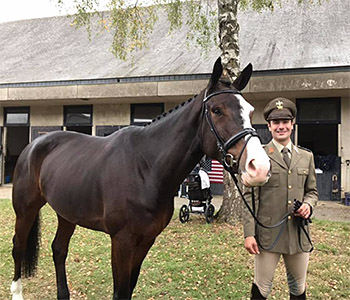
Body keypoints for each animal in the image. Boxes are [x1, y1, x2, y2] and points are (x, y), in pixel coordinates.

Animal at [9, 57, 270, 298]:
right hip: (26, 210)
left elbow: (130, 288)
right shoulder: (122, 241)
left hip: (67, 213)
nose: (259, 167)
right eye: (217, 110)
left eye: (250, 111)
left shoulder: (146, 240)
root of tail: (33, 146)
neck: (145, 168)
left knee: (59, 249)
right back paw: (17, 292)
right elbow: (120, 291)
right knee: (18, 247)